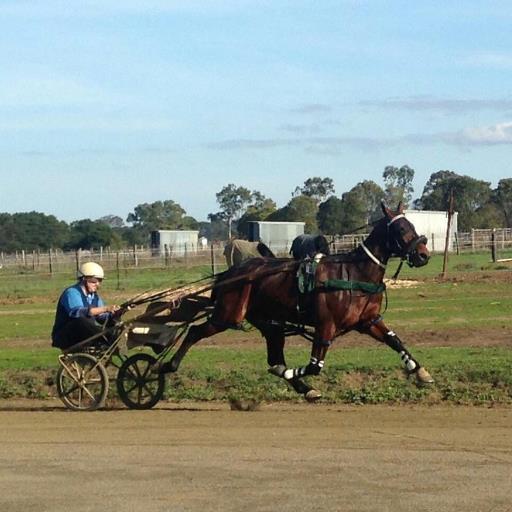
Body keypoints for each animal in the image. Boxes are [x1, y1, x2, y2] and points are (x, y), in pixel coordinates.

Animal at [160, 203, 432, 400]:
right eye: (400, 229)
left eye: (412, 224)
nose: (423, 255)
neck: (354, 274)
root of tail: (230, 273)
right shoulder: (325, 326)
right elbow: (315, 366)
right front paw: (294, 372)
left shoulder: (368, 320)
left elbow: (395, 340)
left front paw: (420, 371)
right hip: (227, 315)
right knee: (195, 332)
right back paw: (166, 366)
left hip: (269, 322)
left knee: (274, 358)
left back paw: (303, 387)